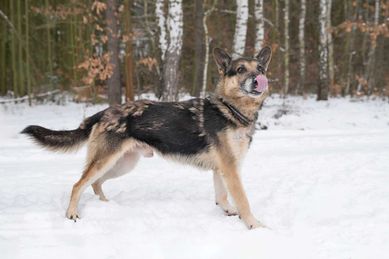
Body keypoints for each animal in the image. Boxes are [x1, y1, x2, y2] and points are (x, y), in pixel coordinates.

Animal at [20, 46, 270, 230]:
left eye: (259, 68)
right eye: (240, 69)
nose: (259, 78)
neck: (230, 109)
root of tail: (104, 112)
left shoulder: (222, 169)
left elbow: (222, 197)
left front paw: (229, 212)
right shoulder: (230, 169)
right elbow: (243, 200)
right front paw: (255, 226)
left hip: (122, 164)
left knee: (95, 183)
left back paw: (106, 206)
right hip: (106, 161)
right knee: (78, 184)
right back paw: (72, 213)